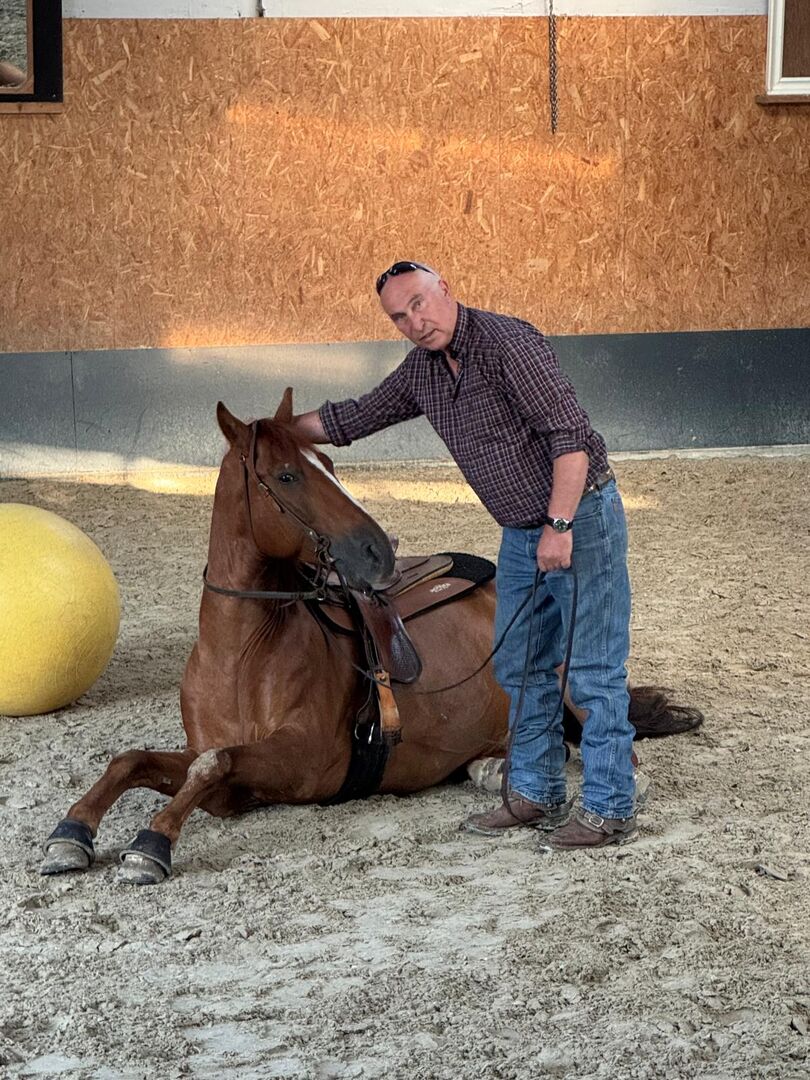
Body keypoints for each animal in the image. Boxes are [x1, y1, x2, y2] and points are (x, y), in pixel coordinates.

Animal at [40, 390, 702, 885]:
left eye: (330, 466)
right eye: (287, 475)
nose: (378, 550)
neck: (243, 655)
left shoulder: (303, 763)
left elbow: (212, 767)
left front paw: (150, 843)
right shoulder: (216, 756)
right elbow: (134, 760)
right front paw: (71, 833)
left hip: (565, 682)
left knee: (602, 740)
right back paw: (491, 771)